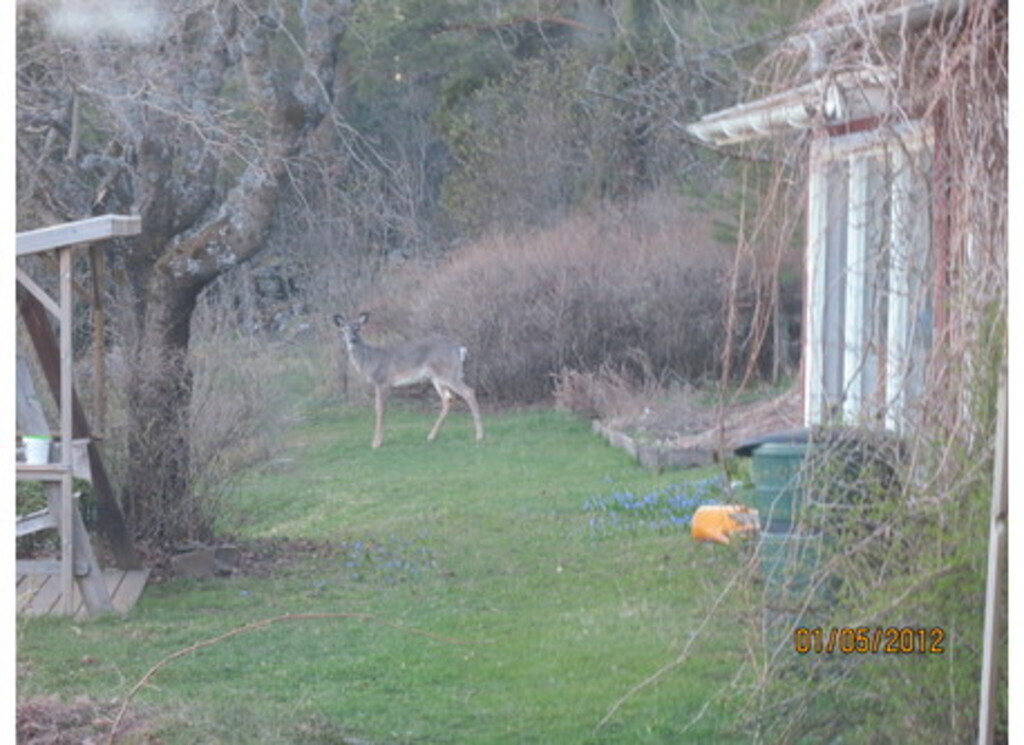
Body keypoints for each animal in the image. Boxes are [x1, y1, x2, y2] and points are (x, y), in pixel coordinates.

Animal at [333, 312, 484, 449]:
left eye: (358, 328)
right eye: (344, 329)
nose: (352, 339)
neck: (370, 360)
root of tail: (460, 349)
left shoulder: (382, 381)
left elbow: (380, 409)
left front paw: (376, 443)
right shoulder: (383, 384)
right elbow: (381, 408)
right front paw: (378, 441)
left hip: (449, 373)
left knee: (469, 392)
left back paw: (479, 436)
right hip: (437, 378)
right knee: (448, 399)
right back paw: (431, 436)